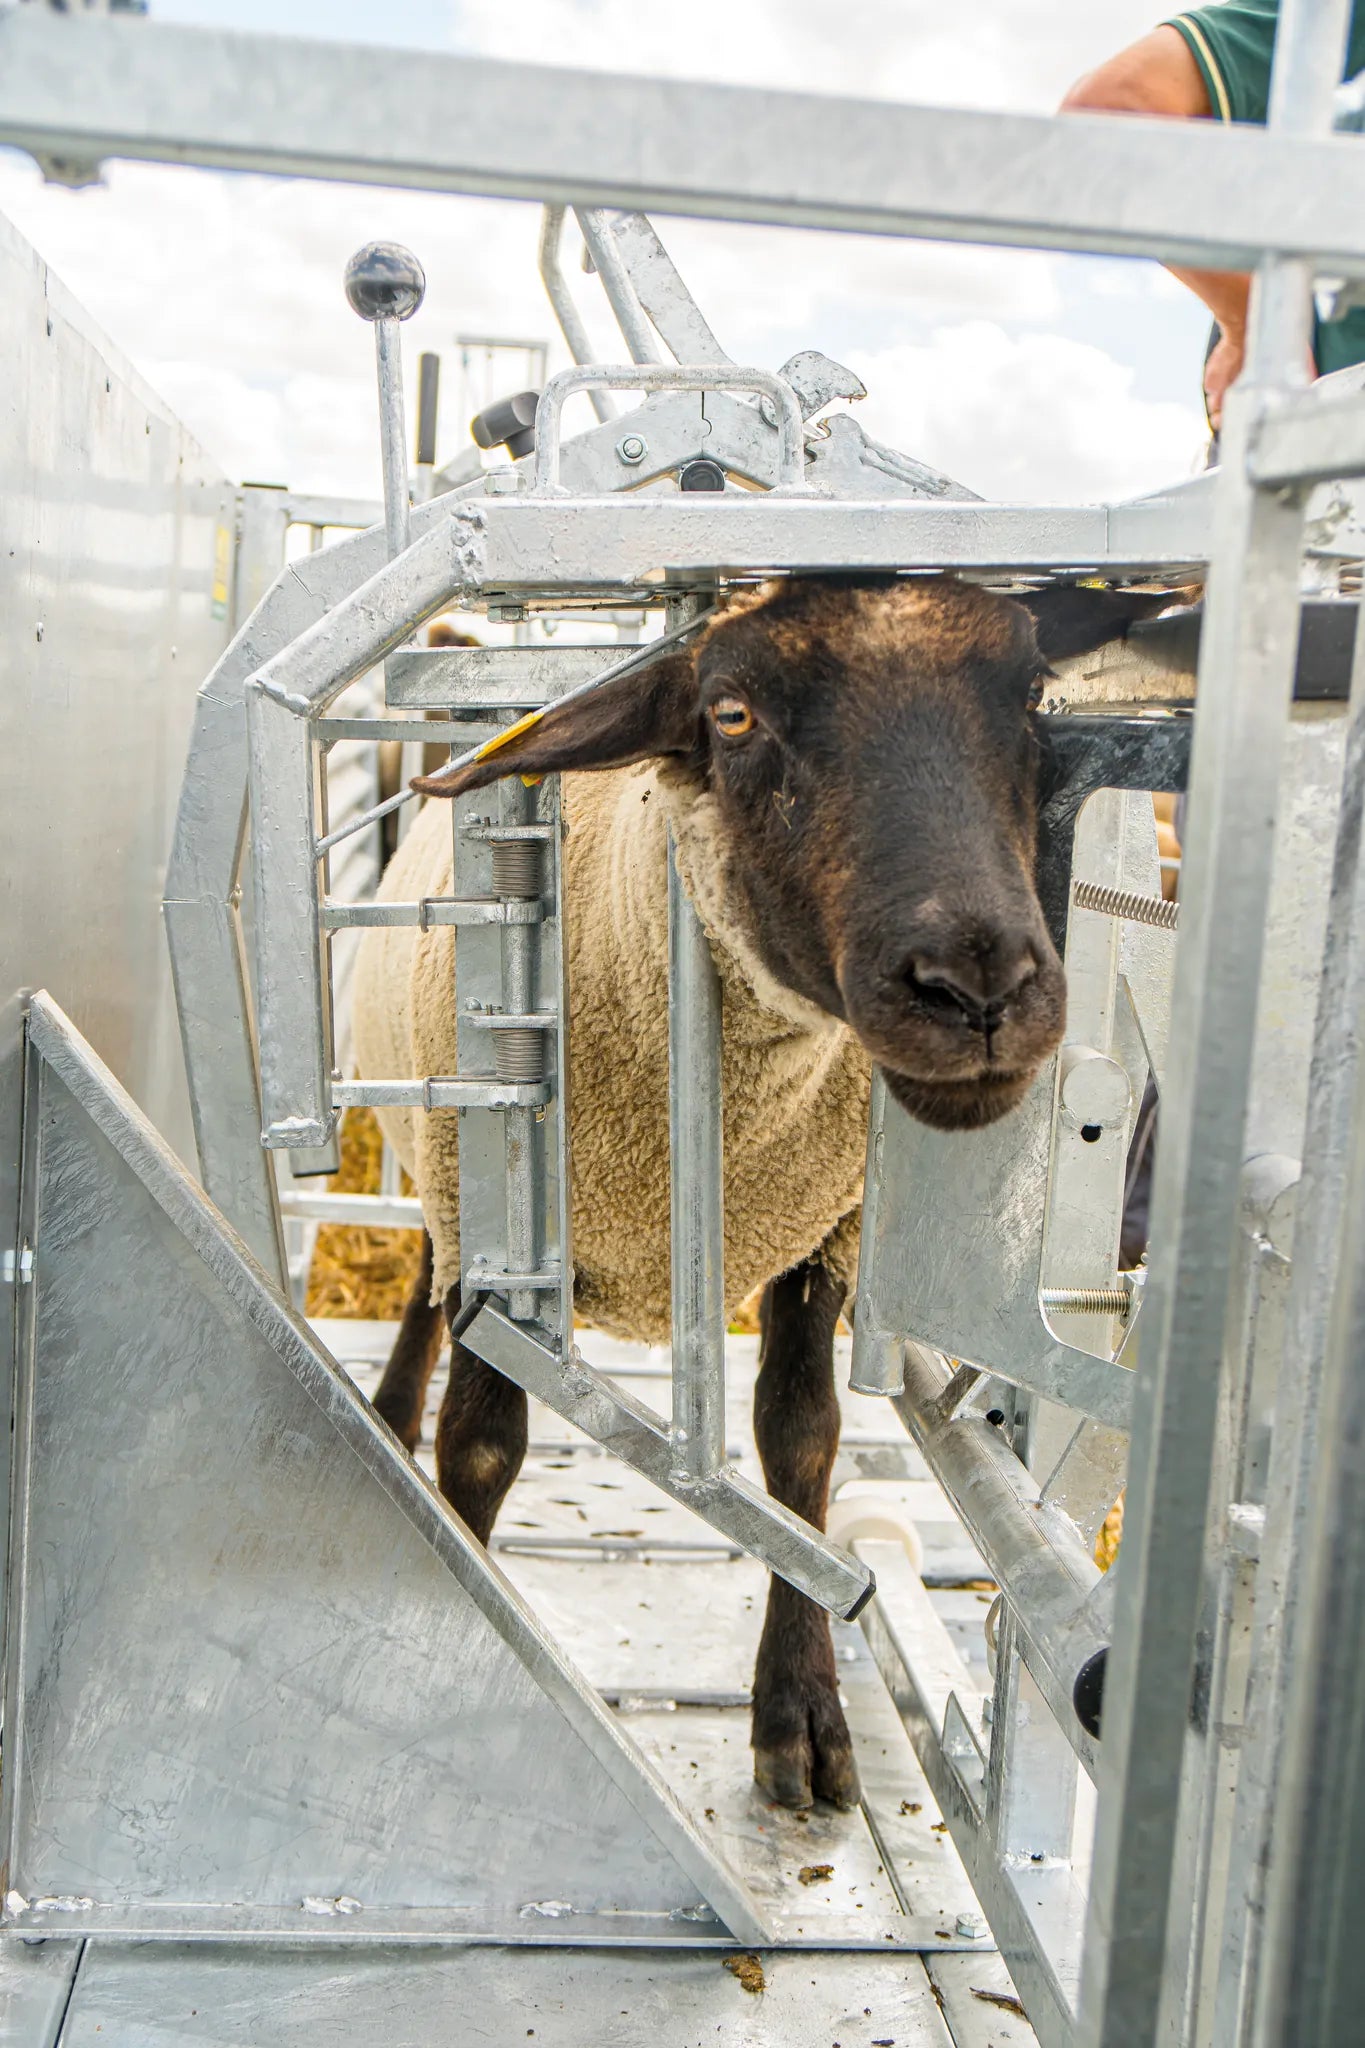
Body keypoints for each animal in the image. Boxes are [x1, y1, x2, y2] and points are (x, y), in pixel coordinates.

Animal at [350, 572, 1157, 1810]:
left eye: (1031, 692)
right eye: (731, 715)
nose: (978, 986)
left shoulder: (821, 1230)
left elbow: (801, 1439)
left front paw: (802, 1713)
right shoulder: (504, 1219)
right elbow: (481, 1444)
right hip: (447, 1153)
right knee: (426, 1284)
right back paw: (388, 1410)